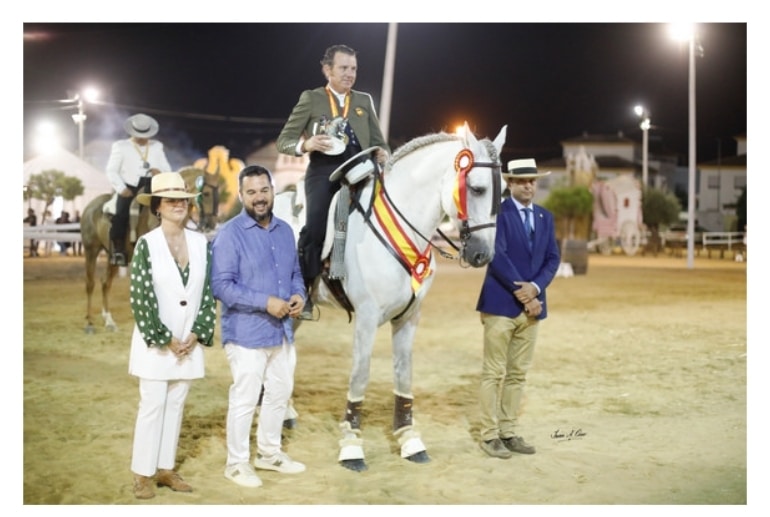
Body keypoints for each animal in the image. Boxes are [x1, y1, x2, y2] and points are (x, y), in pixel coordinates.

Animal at [274, 123, 504, 470]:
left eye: (501, 194)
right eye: (476, 189)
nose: (482, 255)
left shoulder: (408, 318)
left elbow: (403, 374)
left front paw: (410, 440)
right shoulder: (367, 319)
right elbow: (360, 376)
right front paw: (351, 446)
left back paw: (285, 413)